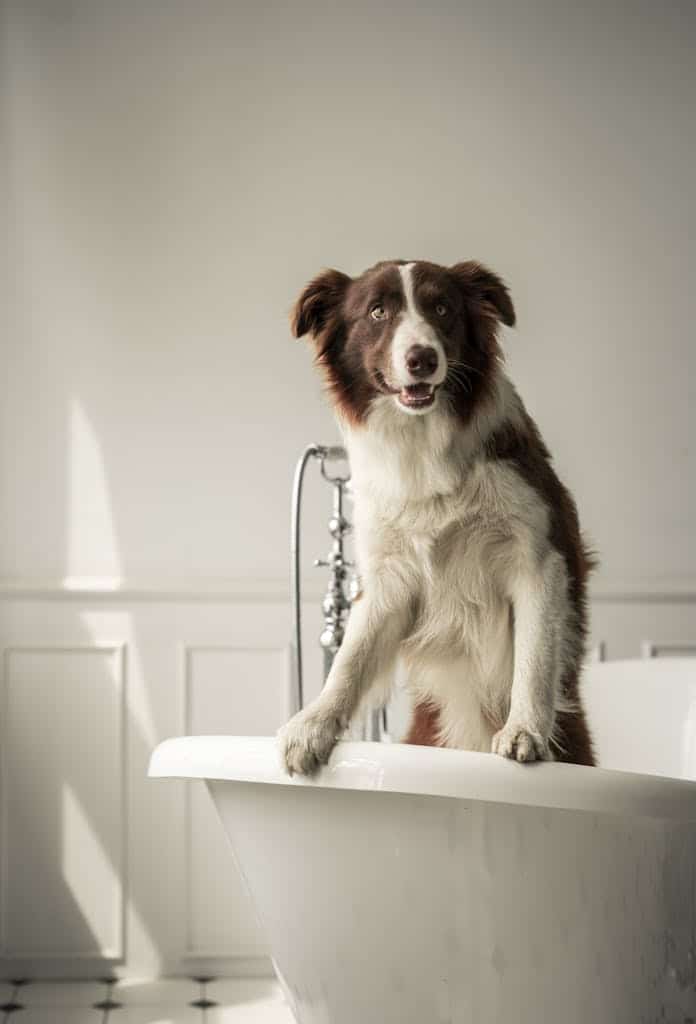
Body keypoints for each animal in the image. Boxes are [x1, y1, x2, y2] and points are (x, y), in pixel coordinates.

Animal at [280, 260, 593, 770]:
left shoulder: (539, 556)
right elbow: (351, 656)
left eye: (442, 308)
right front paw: (312, 725)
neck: (424, 443)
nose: (422, 359)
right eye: (378, 311)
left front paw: (523, 731)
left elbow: (534, 655)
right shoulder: (390, 578)